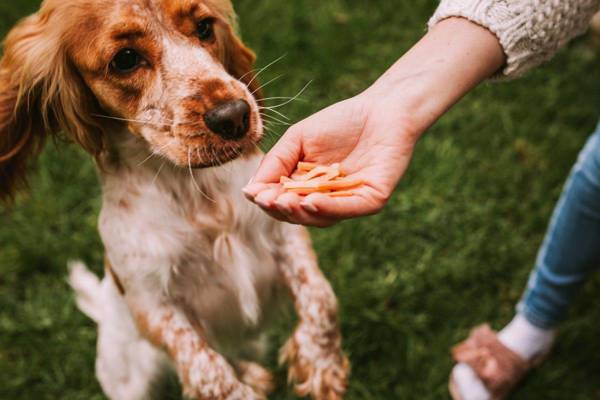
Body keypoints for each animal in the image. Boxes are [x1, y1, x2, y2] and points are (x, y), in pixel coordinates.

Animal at [0, 1, 352, 398]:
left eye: (204, 27)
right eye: (125, 59)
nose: (235, 116)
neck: (193, 189)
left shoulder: (284, 236)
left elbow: (320, 297)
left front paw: (320, 366)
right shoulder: (153, 303)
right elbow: (205, 367)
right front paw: (241, 389)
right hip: (130, 380)